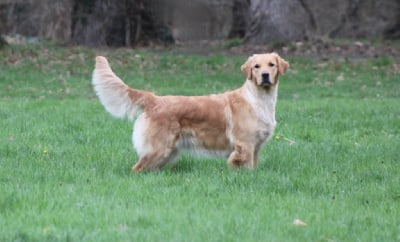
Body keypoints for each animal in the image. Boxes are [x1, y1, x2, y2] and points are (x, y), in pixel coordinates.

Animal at [92, 52, 290, 172]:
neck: (259, 99)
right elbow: (244, 166)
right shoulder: (244, 145)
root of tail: (154, 99)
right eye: (256, 66)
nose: (265, 75)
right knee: (137, 168)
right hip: (159, 148)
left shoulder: (255, 147)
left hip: (167, 151)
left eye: (271, 65)